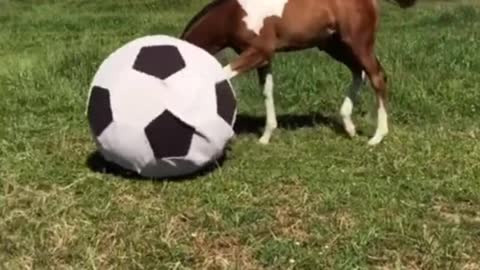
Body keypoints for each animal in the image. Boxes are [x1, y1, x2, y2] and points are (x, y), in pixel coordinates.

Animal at [178, 0, 414, 146]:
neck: (233, 14)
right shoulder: (263, 57)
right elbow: (267, 91)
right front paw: (266, 136)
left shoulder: (259, 51)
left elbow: (218, 76)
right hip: (334, 45)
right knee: (359, 72)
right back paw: (349, 126)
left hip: (358, 42)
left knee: (377, 77)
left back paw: (377, 137)